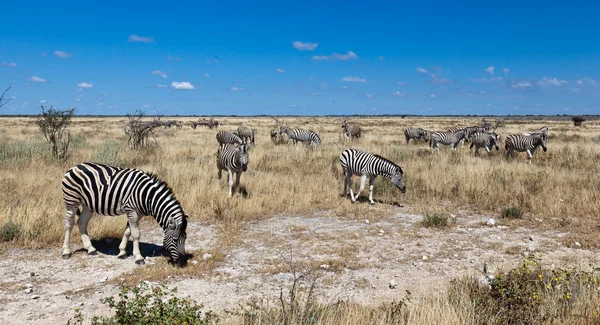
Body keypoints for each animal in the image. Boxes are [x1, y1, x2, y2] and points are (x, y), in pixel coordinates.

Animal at [60, 162, 188, 266]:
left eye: (185, 238)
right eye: (175, 240)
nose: (182, 262)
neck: (147, 196)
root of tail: (75, 166)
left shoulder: (137, 213)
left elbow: (128, 231)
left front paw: (122, 252)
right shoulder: (132, 210)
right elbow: (136, 234)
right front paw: (138, 257)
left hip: (87, 204)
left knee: (81, 222)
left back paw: (91, 249)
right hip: (71, 200)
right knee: (68, 223)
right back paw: (66, 252)